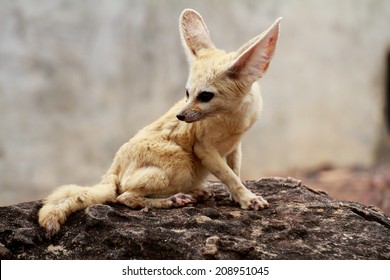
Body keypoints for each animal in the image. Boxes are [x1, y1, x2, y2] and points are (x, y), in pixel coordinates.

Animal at [38, 8, 280, 236]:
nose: (180, 117)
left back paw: (194, 191)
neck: (234, 118)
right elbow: (228, 175)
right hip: (182, 164)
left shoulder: (235, 145)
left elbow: (234, 172)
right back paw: (173, 200)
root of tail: (113, 169)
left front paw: (238, 196)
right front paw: (248, 198)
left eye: (205, 96)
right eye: (187, 93)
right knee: (124, 197)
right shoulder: (203, 148)